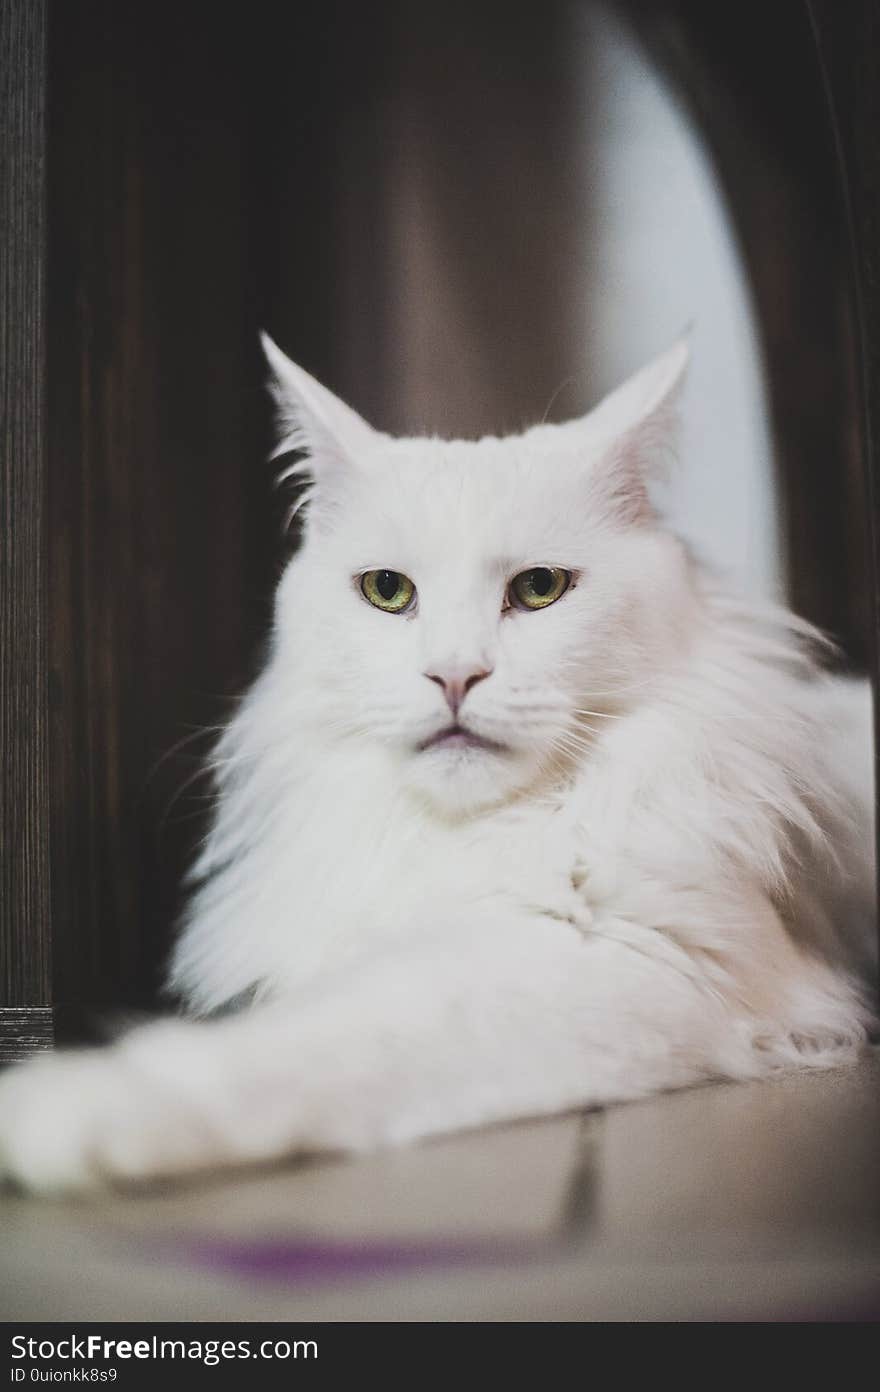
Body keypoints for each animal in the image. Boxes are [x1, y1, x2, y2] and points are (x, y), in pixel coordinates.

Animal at [0, 331, 874, 1191]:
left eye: (540, 587)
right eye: (387, 591)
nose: (455, 676)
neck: (463, 837)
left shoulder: (644, 960)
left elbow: (327, 1040)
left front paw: (71, 1109)